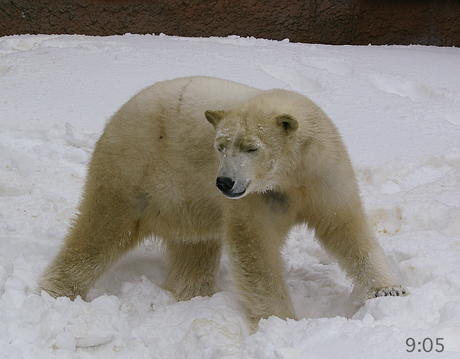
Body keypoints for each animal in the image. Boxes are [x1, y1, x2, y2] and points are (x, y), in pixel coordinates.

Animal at [38, 77, 406, 328]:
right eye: (220, 146)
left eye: (251, 147)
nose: (224, 182)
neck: (292, 176)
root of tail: (117, 115)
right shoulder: (257, 198)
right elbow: (255, 249)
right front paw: (282, 320)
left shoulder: (324, 176)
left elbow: (346, 228)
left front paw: (389, 291)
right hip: (133, 169)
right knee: (100, 230)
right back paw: (55, 292)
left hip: (185, 199)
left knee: (194, 247)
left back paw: (191, 294)